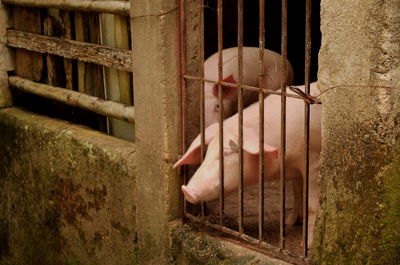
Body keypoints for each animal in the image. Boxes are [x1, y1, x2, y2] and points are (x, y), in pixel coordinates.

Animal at [175, 82, 322, 245]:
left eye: (229, 152)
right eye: (208, 152)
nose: (186, 190)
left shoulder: (313, 163)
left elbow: (311, 205)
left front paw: (307, 244)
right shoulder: (296, 170)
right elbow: (297, 195)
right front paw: (288, 222)